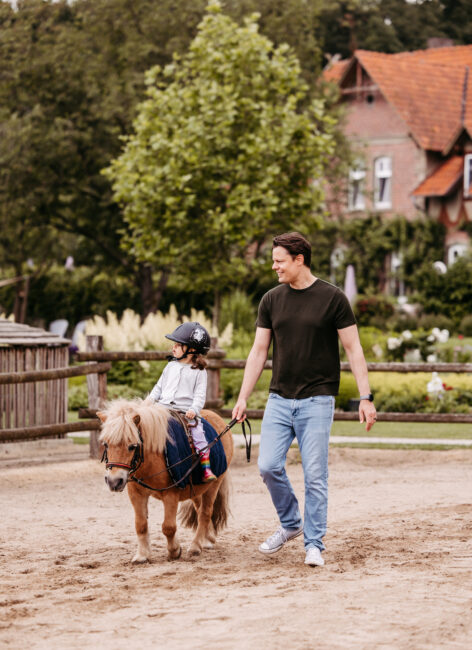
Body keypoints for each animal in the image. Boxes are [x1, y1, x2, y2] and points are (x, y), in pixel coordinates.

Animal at [98, 398, 234, 560]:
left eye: (132, 446)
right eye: (106, 444)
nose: (114, 481)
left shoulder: (171, 494)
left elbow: (168, 527)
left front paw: (174, 550)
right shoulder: (136, 494)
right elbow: (141, 524)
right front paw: (142, 555)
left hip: (214, 485)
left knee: (205, 513)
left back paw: (196, 546)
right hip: (197, 489)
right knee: (200, 509)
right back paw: (207, 539)